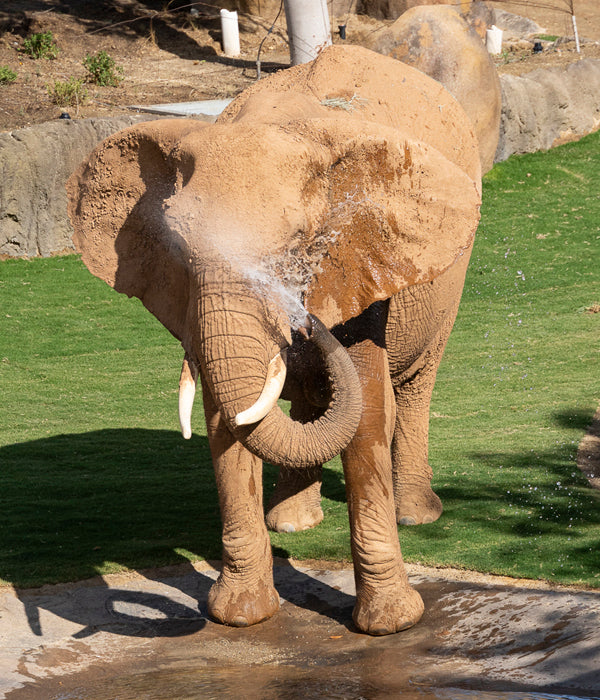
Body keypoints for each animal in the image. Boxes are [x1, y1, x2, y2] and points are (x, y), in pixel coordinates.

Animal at [67, 45, 481, 636]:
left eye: (297, 246)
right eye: (178, 249)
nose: (303, 317)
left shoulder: (364, 264)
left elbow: (368, 411)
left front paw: (389, 625)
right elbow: (226, 422)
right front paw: (240, 618)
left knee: (415, 385)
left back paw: (415, 514)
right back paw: (292, 521)